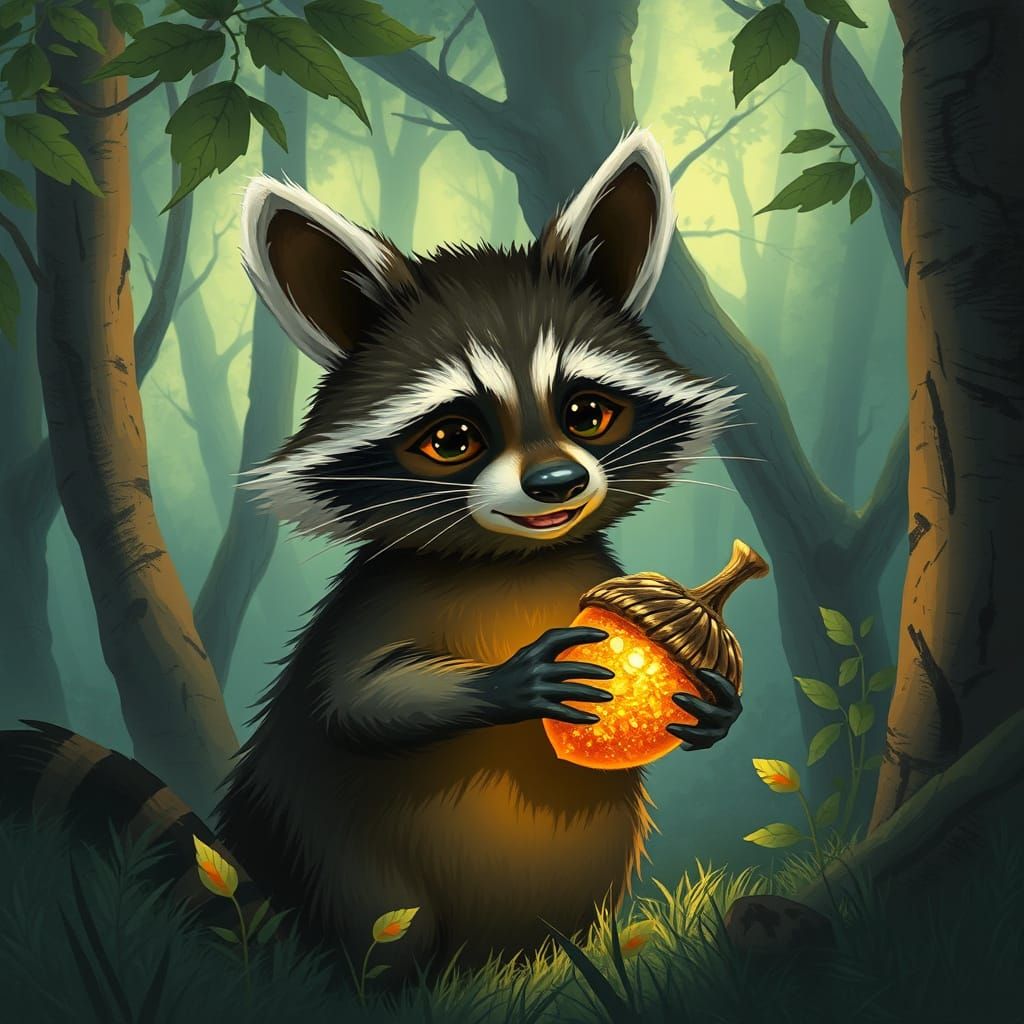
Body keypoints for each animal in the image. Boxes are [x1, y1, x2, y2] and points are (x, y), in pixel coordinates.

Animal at [1, 129, 741, 975]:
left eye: (587, 413)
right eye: (453, 438)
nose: (557, 483)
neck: (513, 560)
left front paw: (720, 707)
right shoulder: (372, 598)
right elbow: (357, 698)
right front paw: (503, 681)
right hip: (340, 870)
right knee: (382, 926)